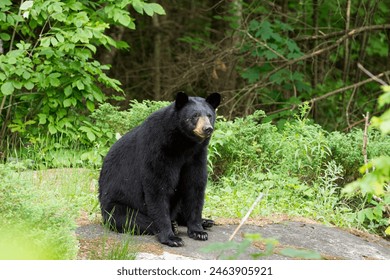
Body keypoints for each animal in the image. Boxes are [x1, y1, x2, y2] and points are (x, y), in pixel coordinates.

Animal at [99, 91, 221, 246]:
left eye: (209, 115)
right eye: (195, 115)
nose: (207, 128)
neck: (184, 143)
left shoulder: (196, 156)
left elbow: (194, 186)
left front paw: (198, 231)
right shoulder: (158, 149)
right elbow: (158, 187)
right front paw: (171, 238)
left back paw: (205, 221)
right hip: (116, 203)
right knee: (130, 219)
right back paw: (173, 226)